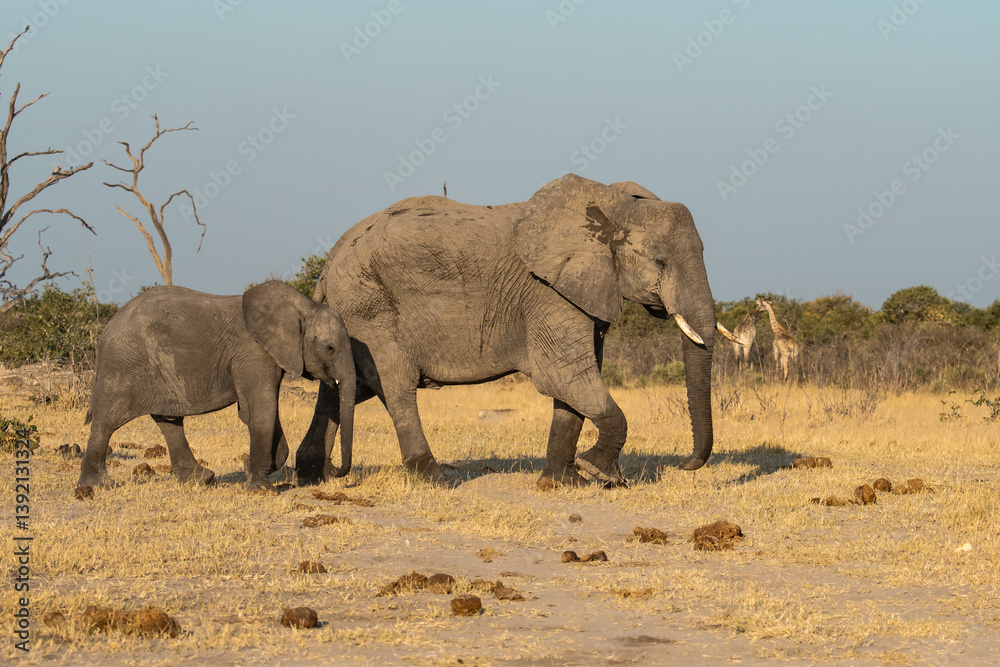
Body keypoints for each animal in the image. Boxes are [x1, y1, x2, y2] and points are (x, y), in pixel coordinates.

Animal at [77, 280, 355, 492]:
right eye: (330, 348)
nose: (332, 469)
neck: (302, 307)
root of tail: (104, 333)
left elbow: (258, 411)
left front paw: (252, 468)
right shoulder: (253, 352)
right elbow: (262, 409)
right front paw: (259, 488)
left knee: (169, 421)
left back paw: (202, 480)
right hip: (122, 366)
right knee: (106, 422)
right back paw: (97, 486)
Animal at [297, 174, 738, 488]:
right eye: (659, 261)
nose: (684, 464)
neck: (610, 206)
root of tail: (328, 263)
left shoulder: (580, 291)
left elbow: (574, 386)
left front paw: (561, 482)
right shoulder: (547, 292)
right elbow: (565, 375)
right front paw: (598, 472)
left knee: (342, 388)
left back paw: (311, 476)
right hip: (371, 309)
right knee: (396, 384)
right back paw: (434, 479)